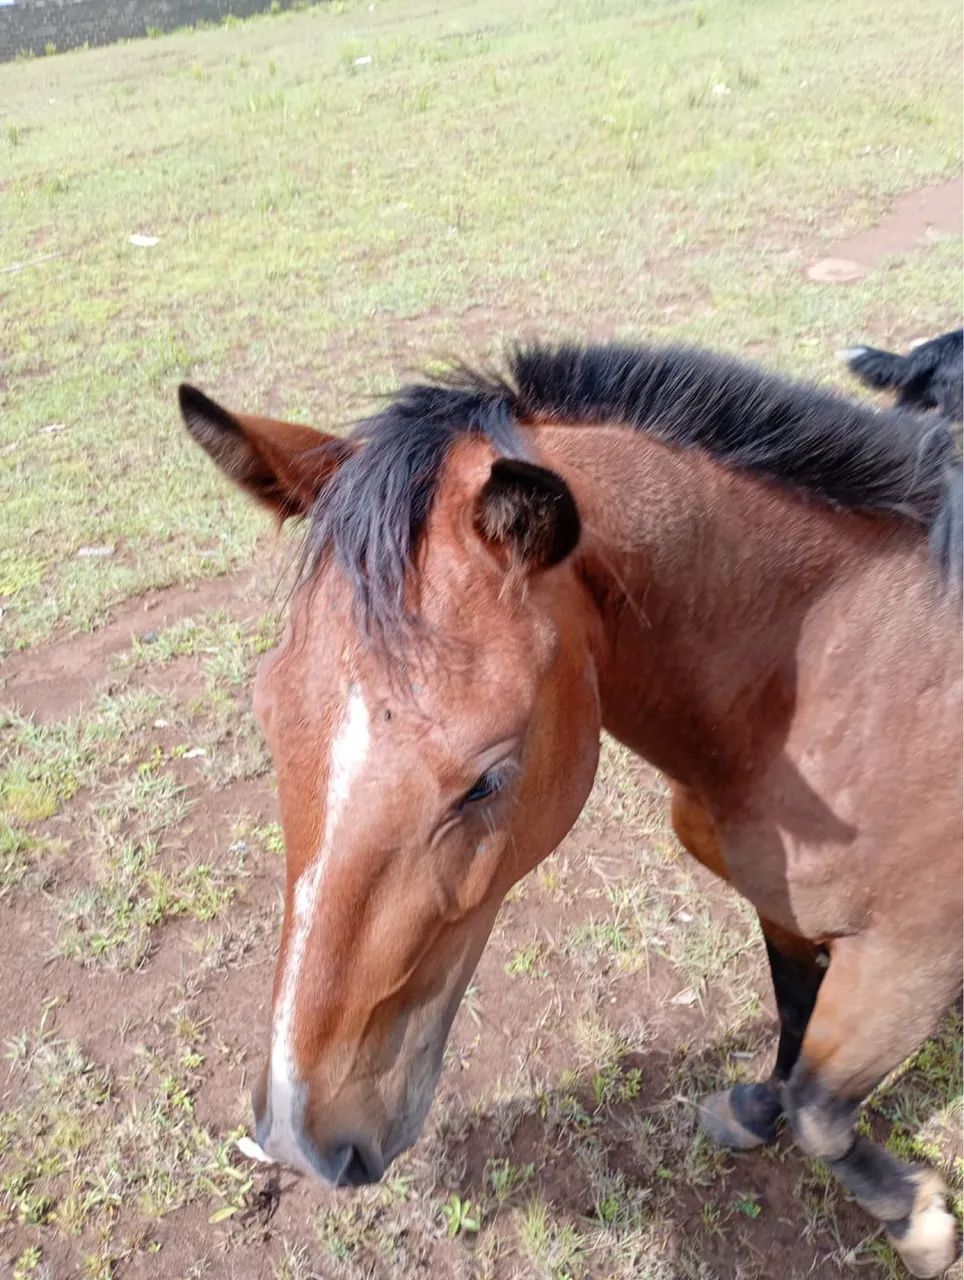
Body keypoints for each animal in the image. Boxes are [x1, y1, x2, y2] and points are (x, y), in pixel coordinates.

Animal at [178, 341, 963, 1277]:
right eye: (268, 715)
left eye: (487, 780)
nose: (300, 1141)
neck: (839, 678)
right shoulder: (785, 908)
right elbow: (794, 1023)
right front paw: (756, 1109)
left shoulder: (912, 958)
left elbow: (819, 1108)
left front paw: (917, 1219)